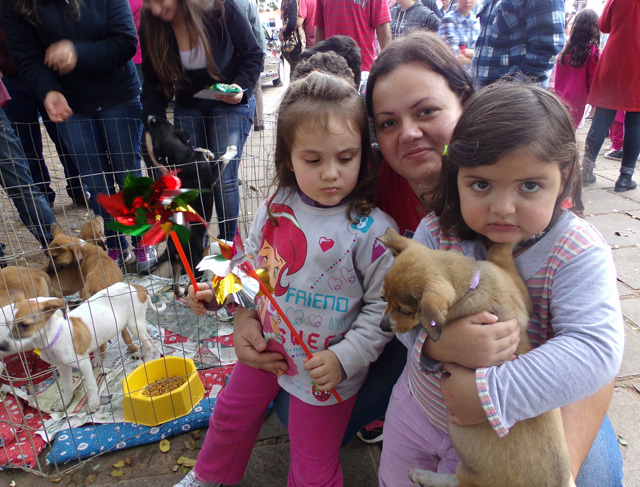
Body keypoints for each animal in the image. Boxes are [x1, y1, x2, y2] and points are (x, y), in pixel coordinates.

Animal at [0, 282, 165, 412]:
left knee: (149, 343)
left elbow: (91, 384)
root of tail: (136, 286)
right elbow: (67, 386)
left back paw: (147, 362)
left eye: (25, 325)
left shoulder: (83, 363)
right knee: (144, 340)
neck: (55, 337)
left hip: (134, 323)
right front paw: (65, 402)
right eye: (7, 324)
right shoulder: (62, 367)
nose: (1, 345)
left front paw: (93, 403)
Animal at [145, 116, 235, 296]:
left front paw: (207, 152)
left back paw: (179, 293)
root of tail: (173, 247)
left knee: (175, 286)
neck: (181, 156)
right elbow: (222, 159)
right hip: (197, 264)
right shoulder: (212, 176)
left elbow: (200, 149)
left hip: (177, 263)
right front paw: (231, 150)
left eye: (154, 124)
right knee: (191, 287)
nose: (149, 117)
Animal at [376, 230, 568, 487]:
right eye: (383, 297)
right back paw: (422, 475)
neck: (470, 288)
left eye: (406, 311)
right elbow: (497, 249)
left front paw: (529, 233)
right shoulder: (519, 292)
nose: (383, 326)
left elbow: (497, 247)